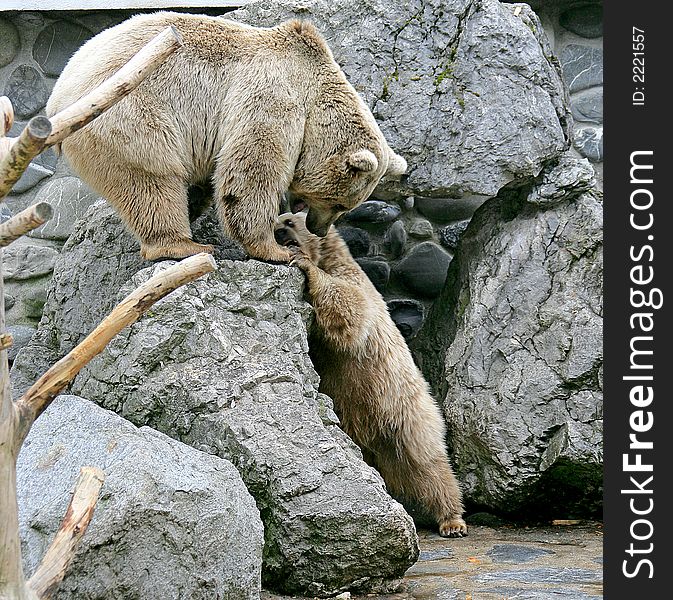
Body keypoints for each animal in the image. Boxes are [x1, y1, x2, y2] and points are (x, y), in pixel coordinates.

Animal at [47, 11, 406, 260]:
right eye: (340, 203)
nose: (318, 228)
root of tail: (57, 98)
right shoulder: (273, 95)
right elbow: (253, 168)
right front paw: (276, 249)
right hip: (128, 113)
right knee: (152, 178)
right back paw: (183, 245)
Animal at [274, 212, 468, 540]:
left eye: (289, 221)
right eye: (278, 219)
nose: (277, 230)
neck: (331, 257)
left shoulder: (356, 281)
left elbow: (350, 307)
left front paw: (303, 263)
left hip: (406, 411)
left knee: (427, 463)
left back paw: (452, 519)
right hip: (357, 417)